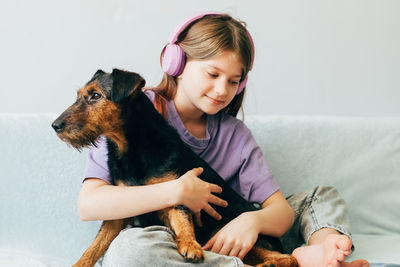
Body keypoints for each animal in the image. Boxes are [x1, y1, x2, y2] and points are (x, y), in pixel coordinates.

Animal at [51, 69, 298, 267]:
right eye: (79, 95)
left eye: (96, 96)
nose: (55, 125)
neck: (131, 146)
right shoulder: (118, 210)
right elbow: (94, 246)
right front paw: (78, 264)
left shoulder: (177, 190)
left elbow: (182, 219)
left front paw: (190, 244)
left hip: (233, 230)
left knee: (289, 258)